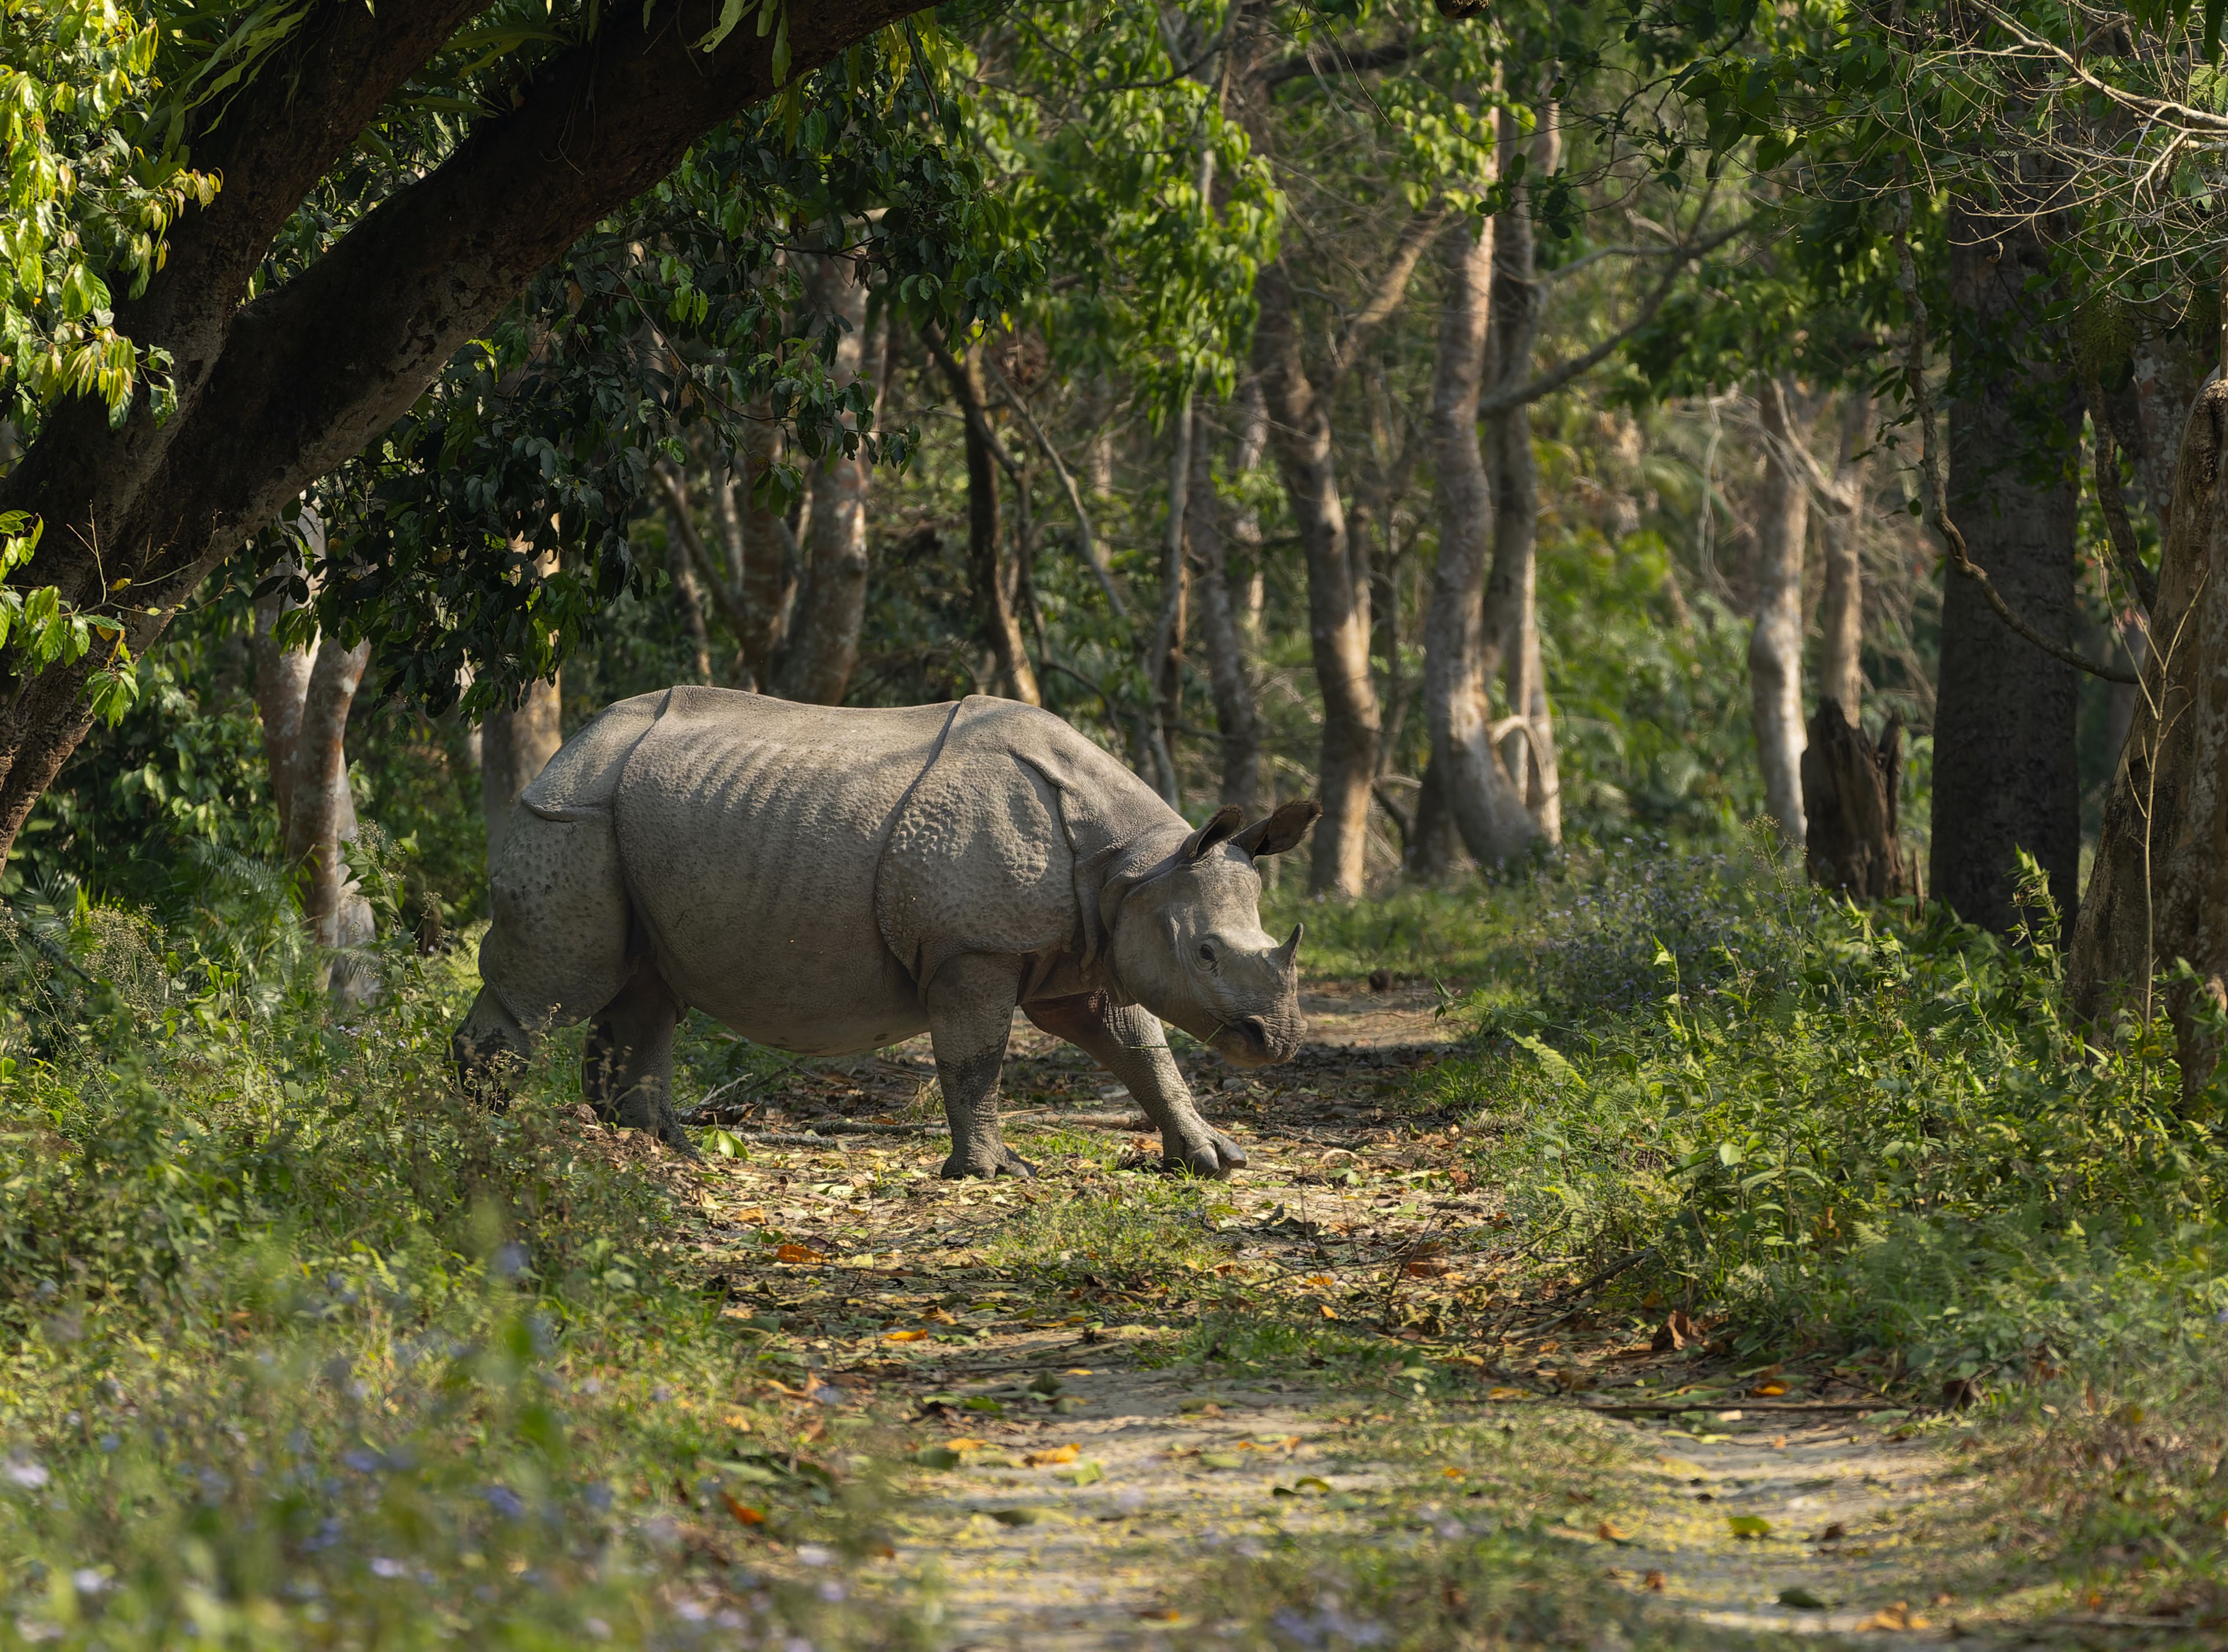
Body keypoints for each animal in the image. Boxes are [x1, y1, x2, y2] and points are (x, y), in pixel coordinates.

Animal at [451, 687, 1319, 1178]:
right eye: (1204, 952)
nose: (1275, 1041)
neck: (1136, 865)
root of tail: (569, 747)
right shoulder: (976, 945)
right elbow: (975, 1058)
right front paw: (995, 1173)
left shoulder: (1089, 946)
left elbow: (1144, 1051)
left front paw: (1214, 1161)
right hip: (573, 814)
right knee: (558, 987)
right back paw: (483, 1139)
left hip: (635, 816)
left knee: (645, 988)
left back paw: (665, 1154)